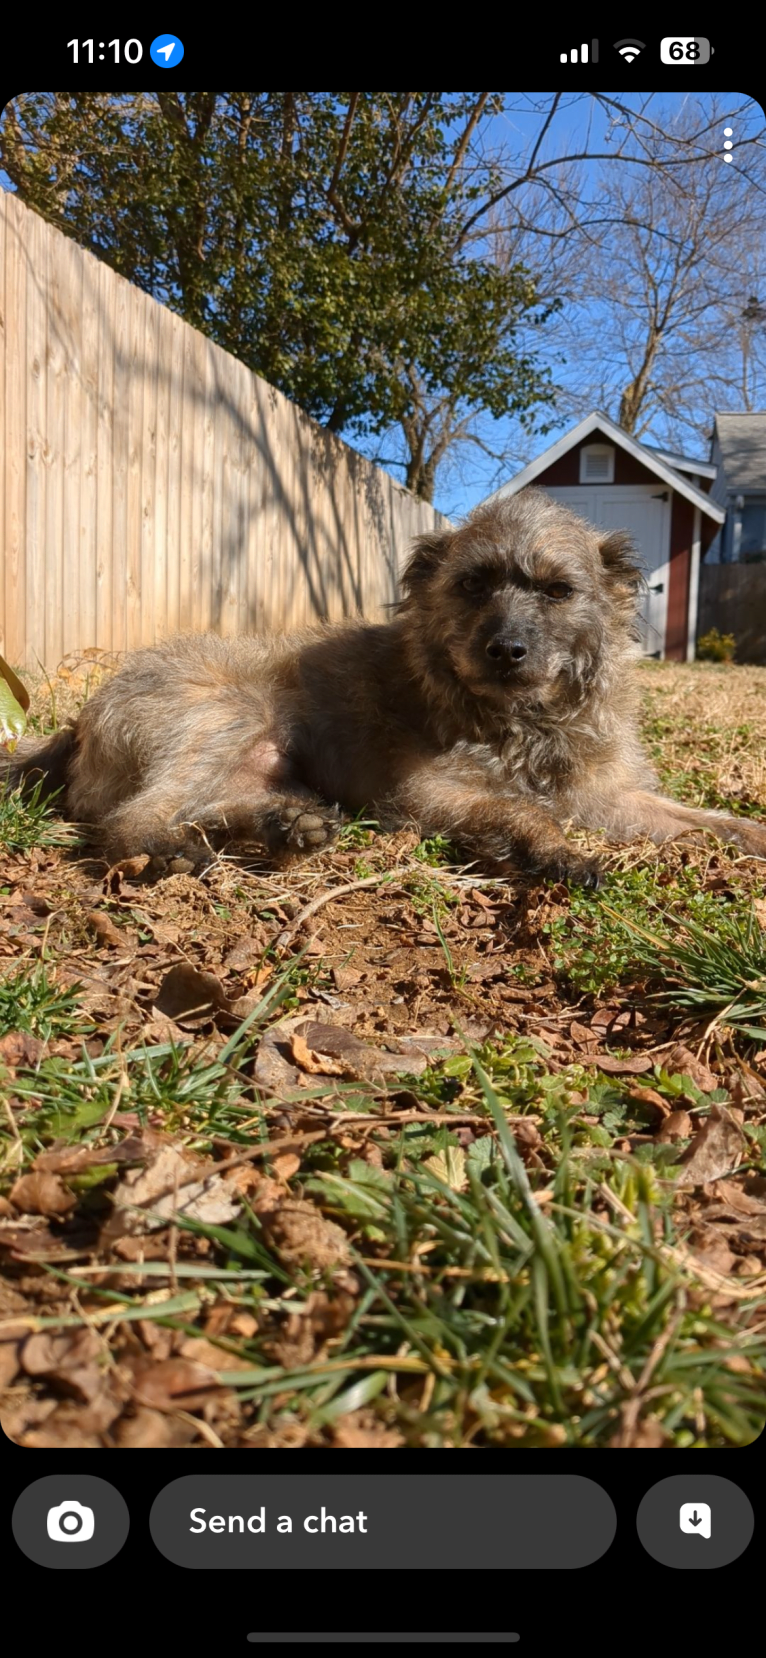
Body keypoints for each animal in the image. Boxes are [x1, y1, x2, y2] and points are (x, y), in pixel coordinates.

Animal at [5, 487, 766, 888]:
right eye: (473, 585)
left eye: (557, 591)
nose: (506, 650)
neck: (526, 722)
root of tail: (76, 725)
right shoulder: (426, 792)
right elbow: (522, 810)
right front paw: (546, 849)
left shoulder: (610, 797)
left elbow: (702, 820)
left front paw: (750, 833)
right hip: (226, 711)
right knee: (128, 819)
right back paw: (166, 850)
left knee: (210, 807)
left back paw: (285, 826)